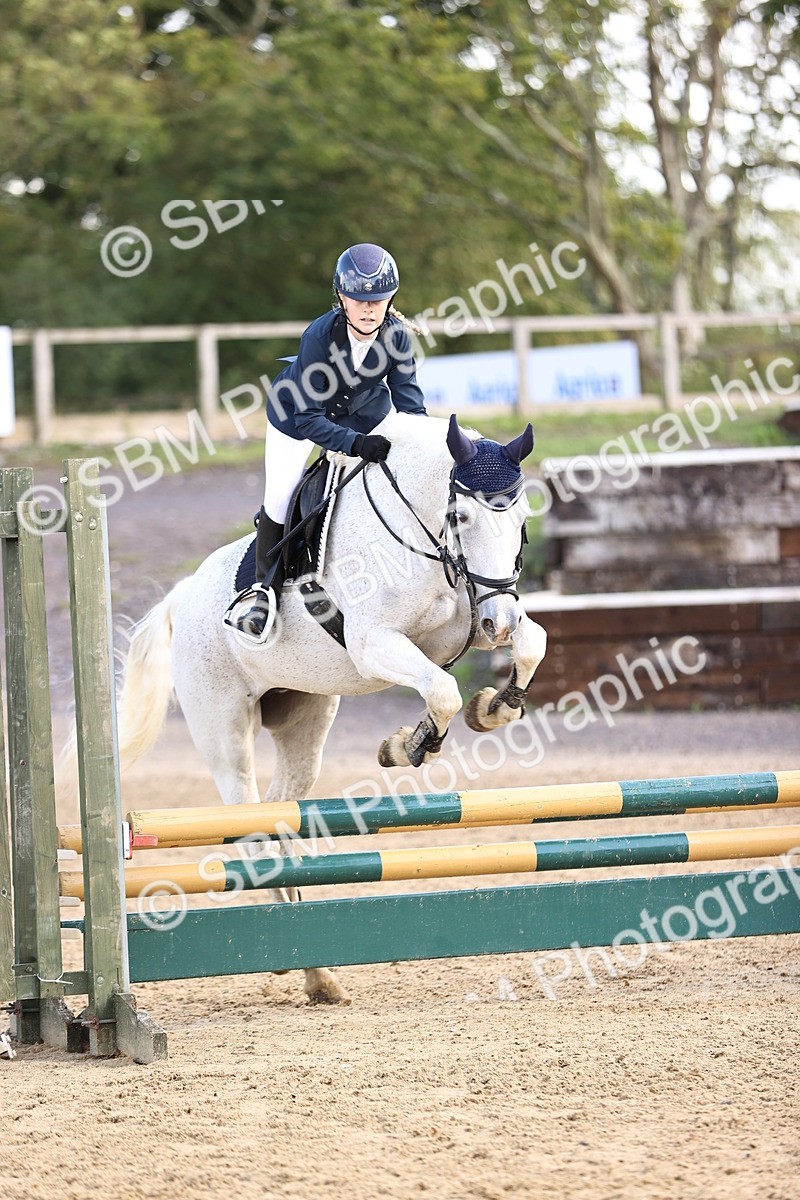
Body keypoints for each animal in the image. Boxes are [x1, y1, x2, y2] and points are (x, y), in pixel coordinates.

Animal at [115, 411, 548, 1003]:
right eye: (461, 515)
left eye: (522, 518)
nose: (499, 621)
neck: (419, 532)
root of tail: (180, 597)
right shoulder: (374, 644)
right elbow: (441, 690)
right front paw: (409, 746)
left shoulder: (466, 623)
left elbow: (532, 644)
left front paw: (495, 707)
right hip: (222, 729)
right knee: (249, 824)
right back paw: (298, 957)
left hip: (305, 718)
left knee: (280, 811)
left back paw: (310, 959)